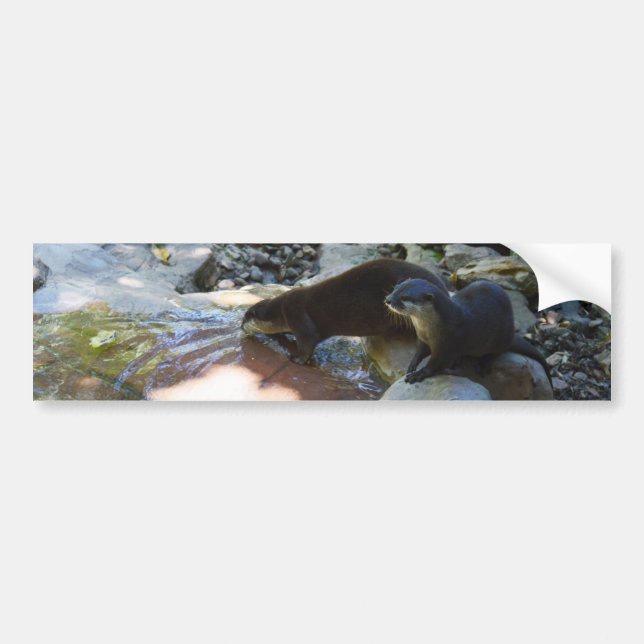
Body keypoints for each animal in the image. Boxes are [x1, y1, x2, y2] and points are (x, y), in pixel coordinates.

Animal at [241, 259, 449, 363]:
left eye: (245, 318)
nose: (241, 327)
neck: (280, 311)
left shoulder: (296, 313)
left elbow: (308, 340)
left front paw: (297, 359)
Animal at [384, 278, 551, 385]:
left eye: (404, 297)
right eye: (395, 288)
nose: (388, 300)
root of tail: (511, 334)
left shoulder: (447, 344)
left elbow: (435, 364)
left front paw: (419, 374)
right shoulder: (422, 339)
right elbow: (420, 351)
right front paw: (412, 364)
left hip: (500, 337)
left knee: (496, 352)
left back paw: (482, 364)